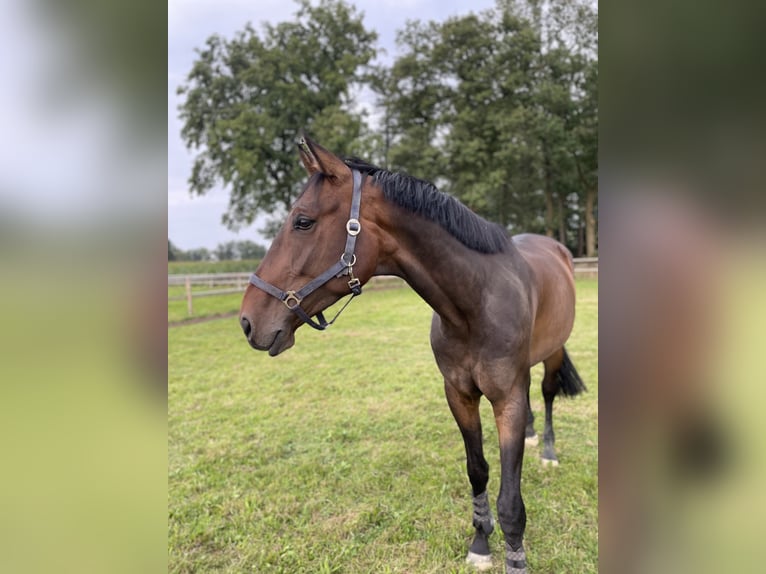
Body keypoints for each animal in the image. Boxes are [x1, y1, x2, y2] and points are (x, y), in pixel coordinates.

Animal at [240, 136, 588, 574]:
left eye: (303, 221)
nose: (248, 321)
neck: (475, 302)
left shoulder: (506, 397)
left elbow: (511, 500)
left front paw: (515, 560)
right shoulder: (459, 394)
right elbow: (478, 471)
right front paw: (480, 544)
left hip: (552, 354)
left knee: (546, 396)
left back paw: (548, 452)